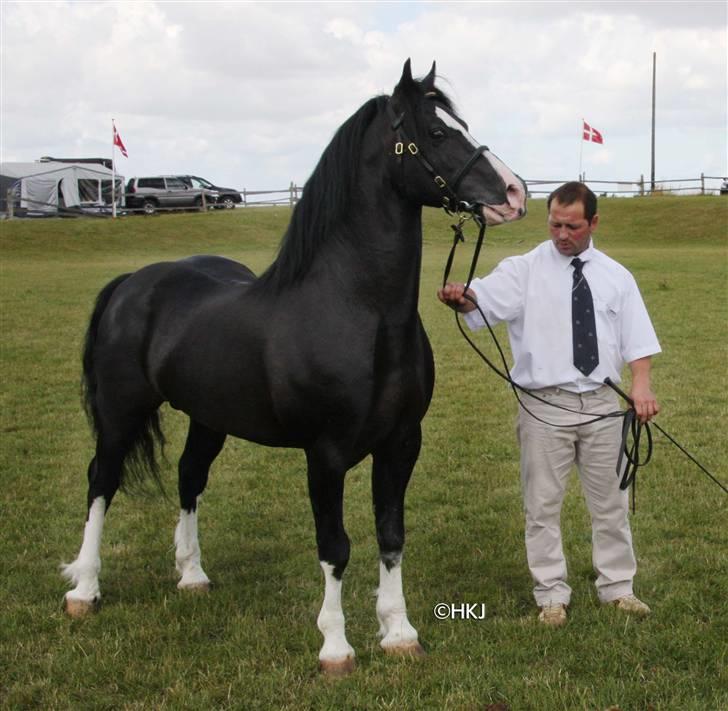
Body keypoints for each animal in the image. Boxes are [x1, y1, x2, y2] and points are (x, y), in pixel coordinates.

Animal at [62, 59, 528, 672]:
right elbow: (335, 547)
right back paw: (85, 589)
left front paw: (399, 633)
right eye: (435, 132)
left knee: (189, 477)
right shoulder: (325, 455)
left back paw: (193, 576)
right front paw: (336, 646)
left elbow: (391, 535)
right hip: (120, 412)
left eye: (461, 125)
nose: (515, 193)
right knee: (102, 480)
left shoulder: (401, 443)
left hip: (208, 417)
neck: (357, 312)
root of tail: (132, 283)